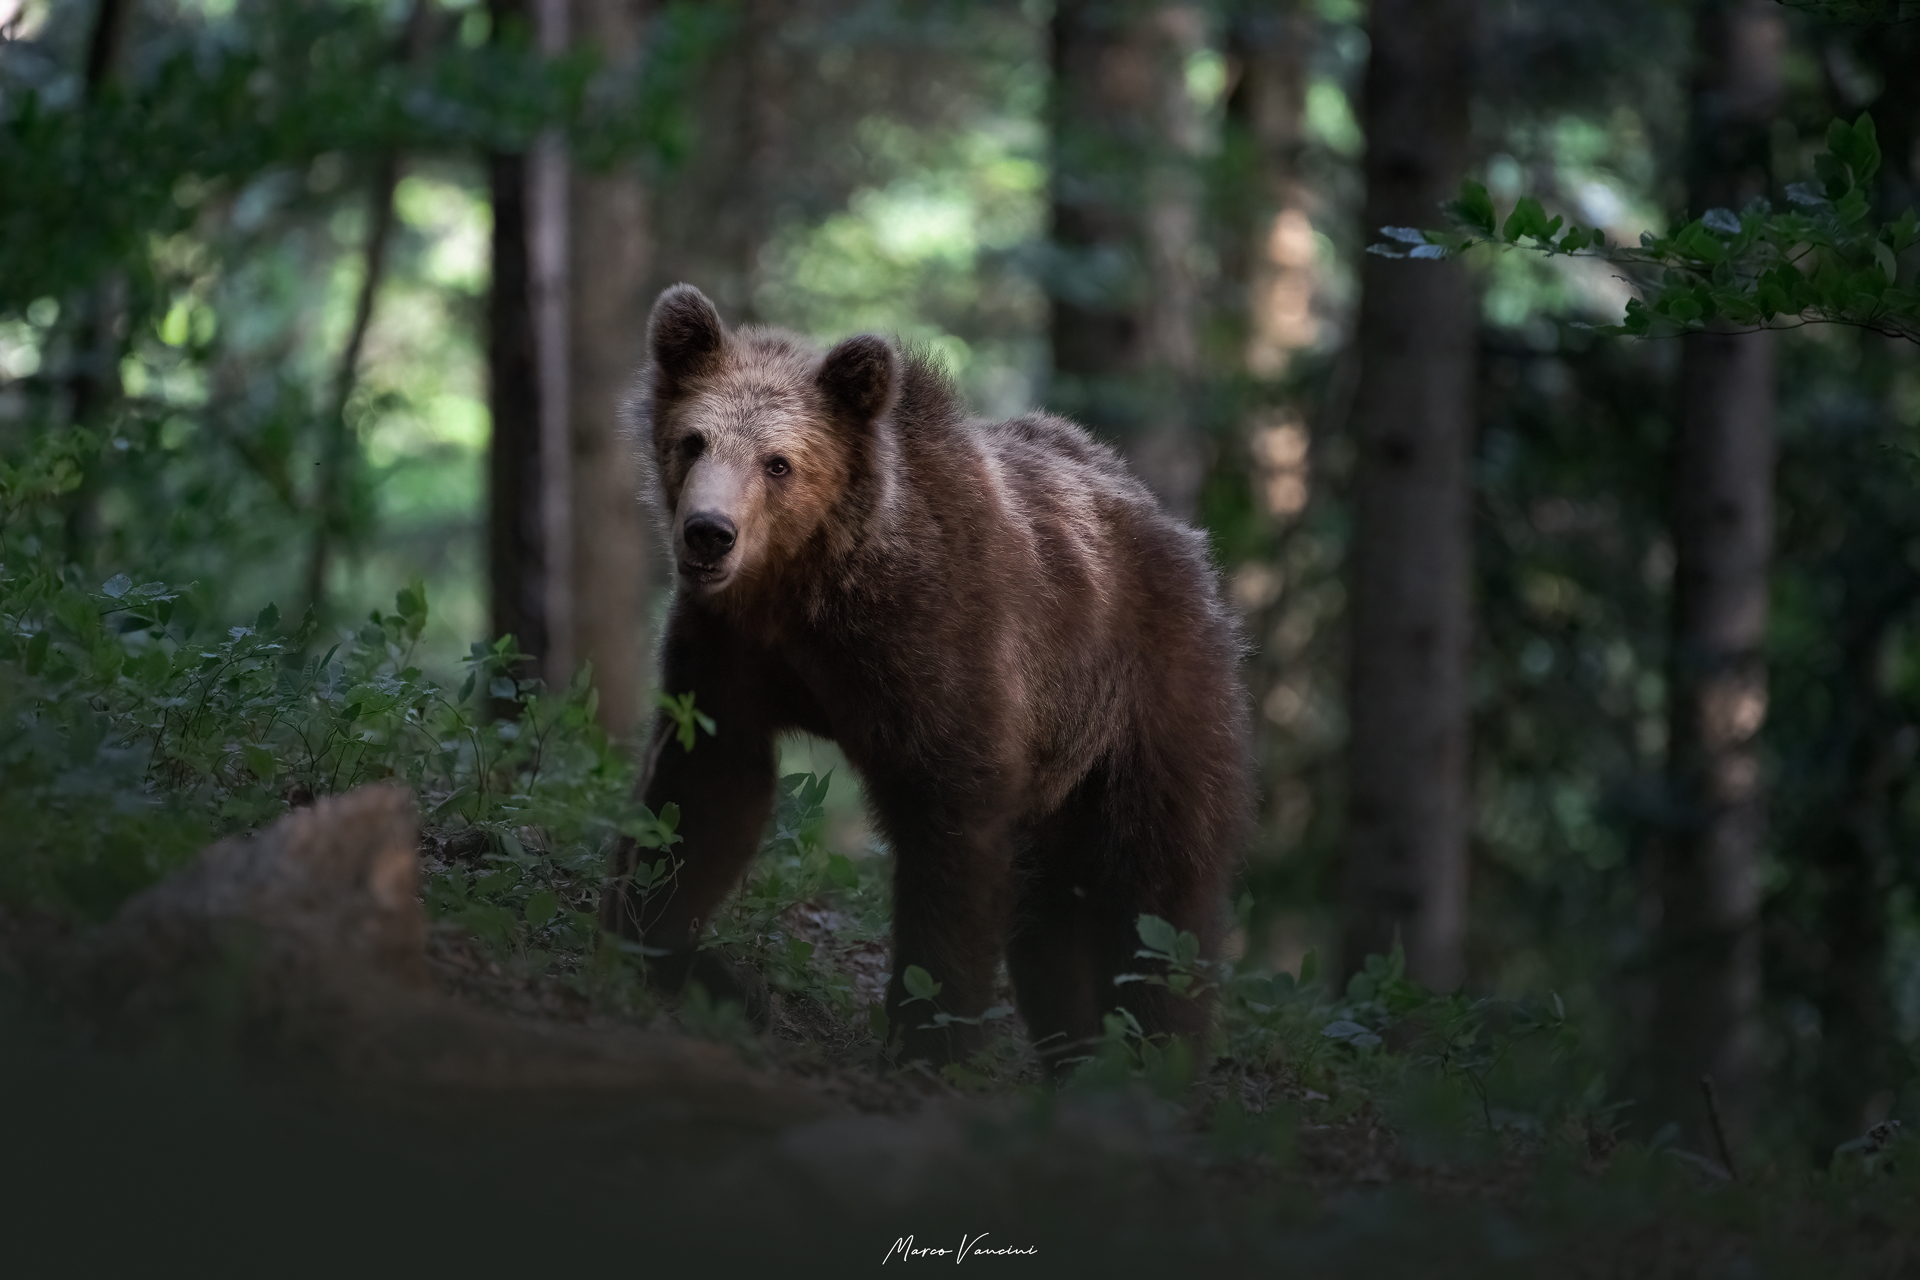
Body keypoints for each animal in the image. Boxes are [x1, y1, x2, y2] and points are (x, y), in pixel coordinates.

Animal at [600, 284, 1251, 1068]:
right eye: (693, 440)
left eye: (778, 463)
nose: (708, 533)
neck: (807, 587)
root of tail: (1178, 532)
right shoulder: (732, 651)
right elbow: (703, 793)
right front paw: (677, 953)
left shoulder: (939, 650)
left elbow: (951, 827)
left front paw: (928, 1031)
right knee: (1053, 912)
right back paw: (1077, 1049)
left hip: (1149, 697)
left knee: (1156, 889)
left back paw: (1158, 1050)